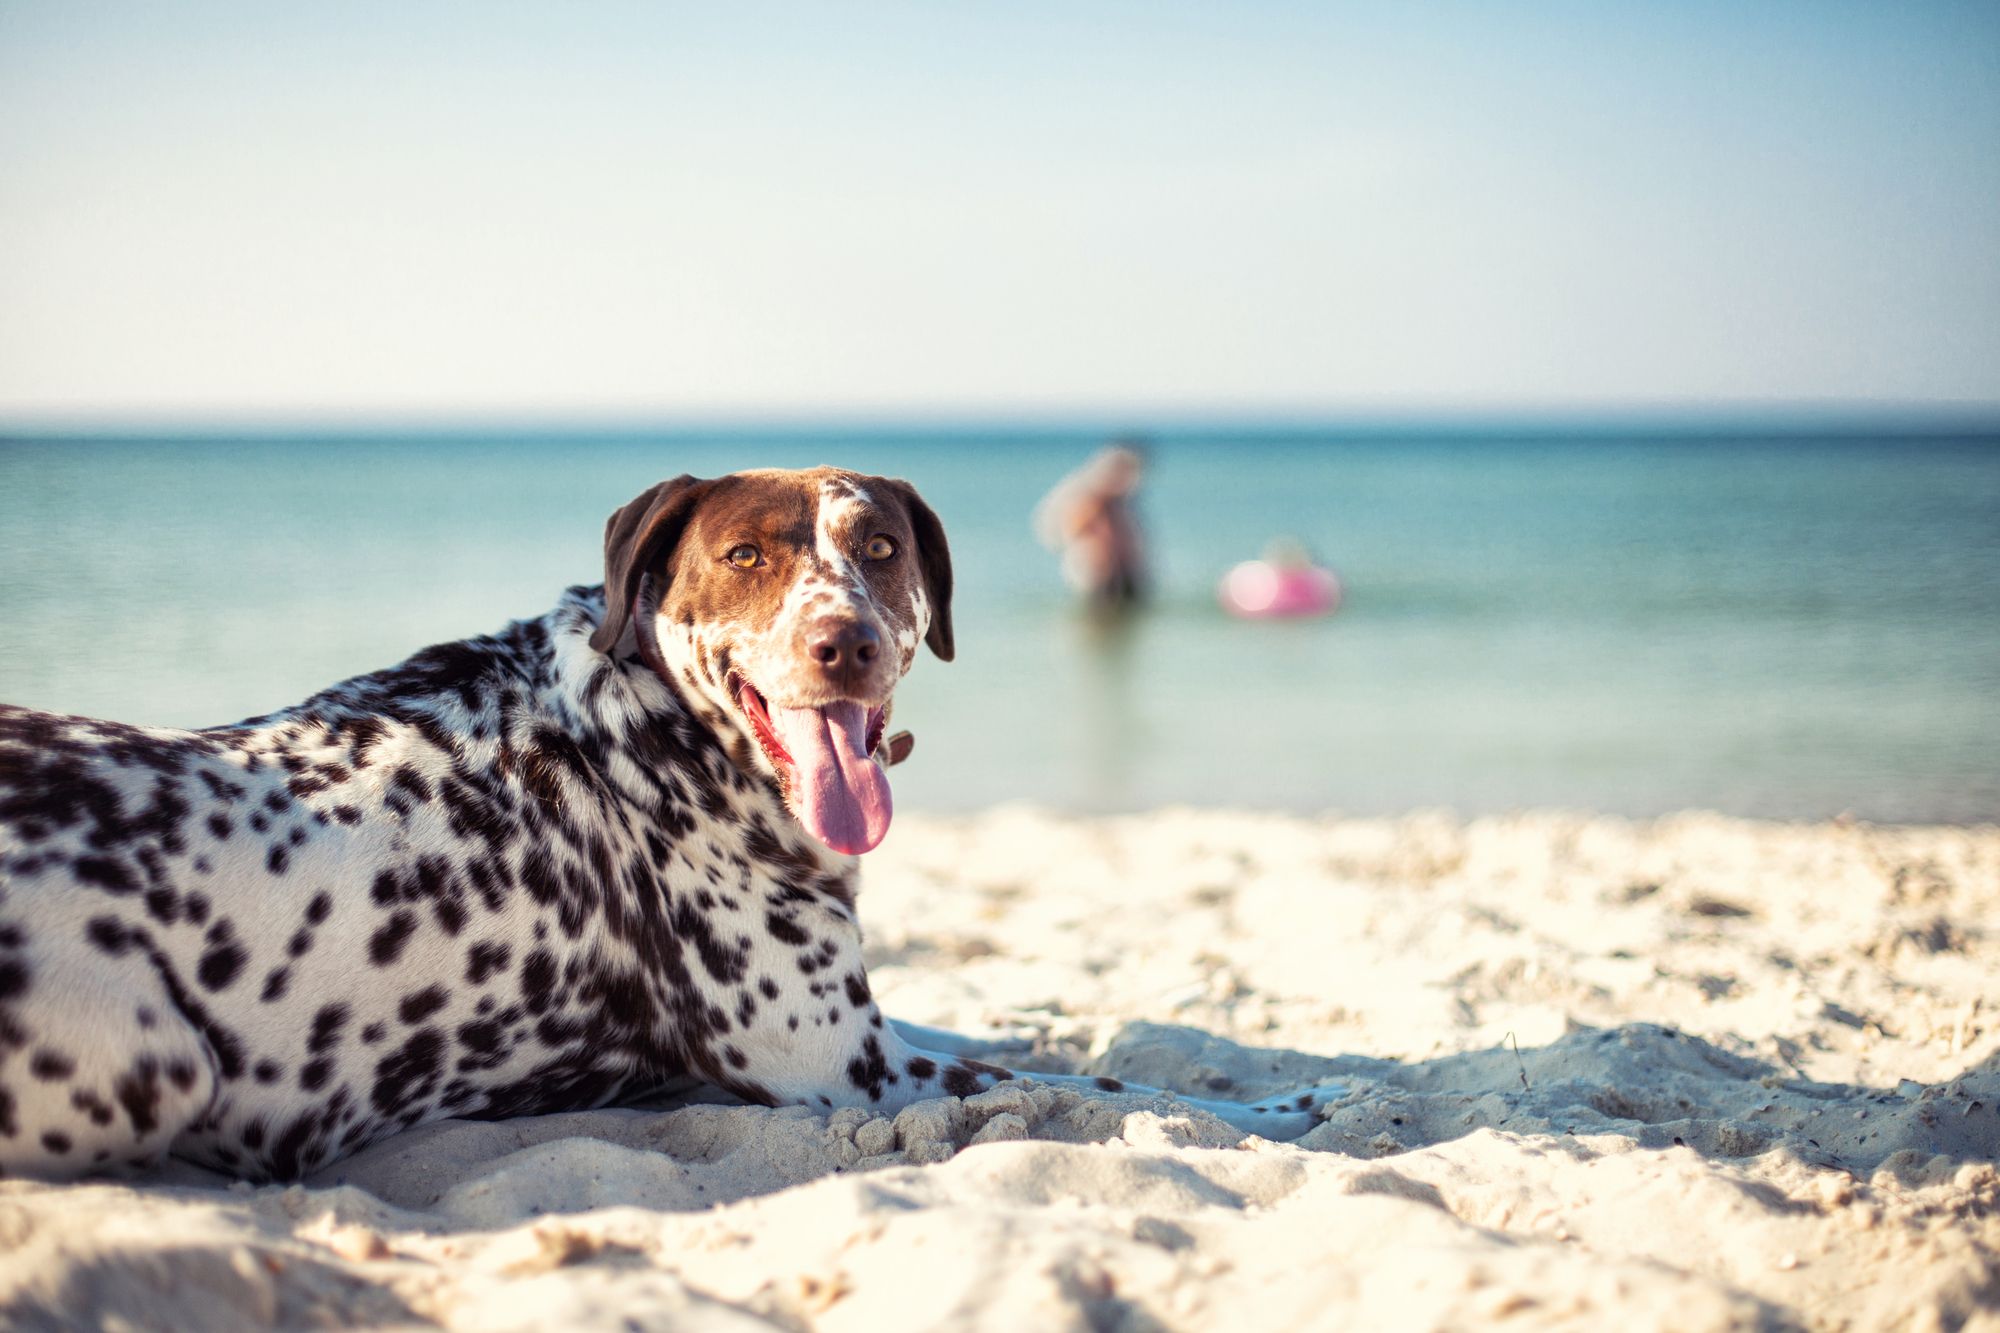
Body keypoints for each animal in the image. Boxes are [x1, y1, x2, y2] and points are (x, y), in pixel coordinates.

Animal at [3, 472, 1344, 1176]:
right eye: (743, 555)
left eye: (878, 546)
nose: (842, 643)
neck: (646, 726)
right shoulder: (844, 1064)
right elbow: (1101, 1083)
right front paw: (1269, 1111)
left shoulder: (866, 1023)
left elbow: (1069, 1054)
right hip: (149, 1064)